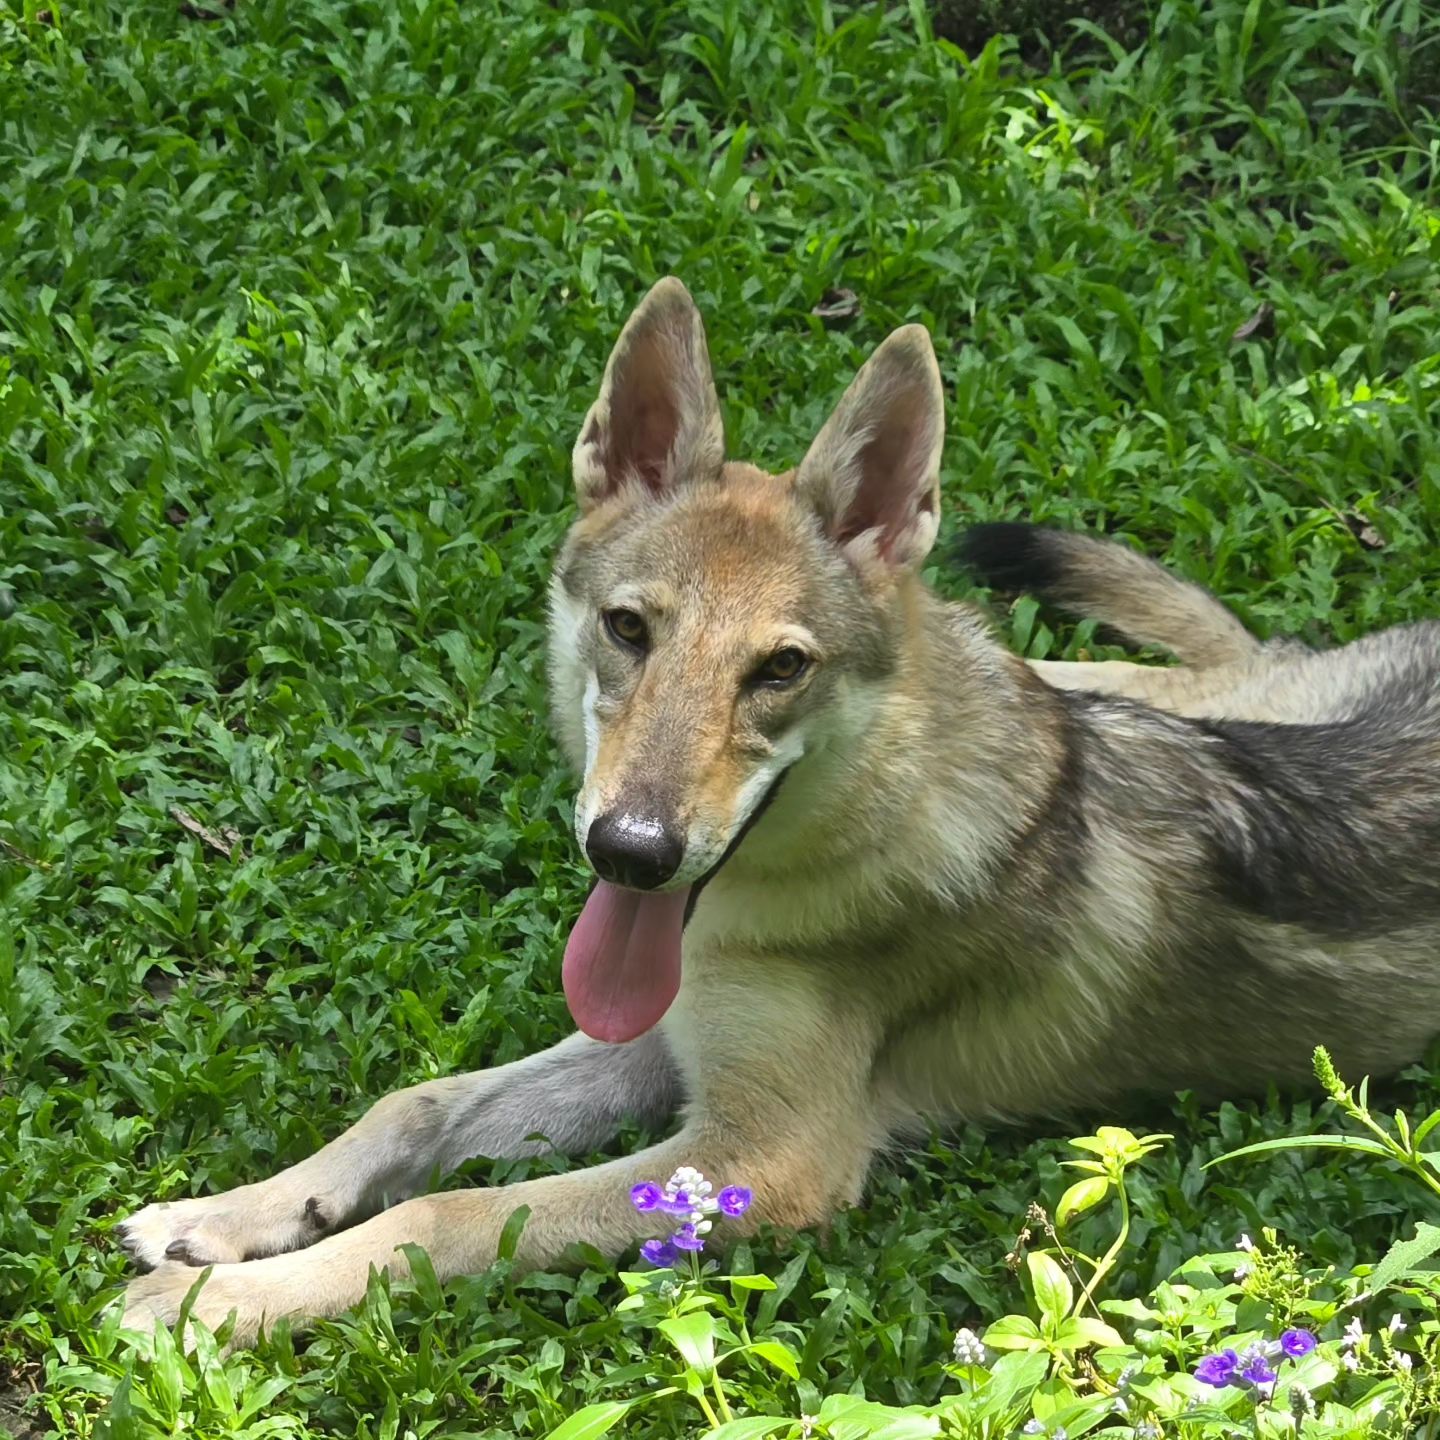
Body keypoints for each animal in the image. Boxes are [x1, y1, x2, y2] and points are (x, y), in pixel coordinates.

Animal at [115, 275, 1440, 1342]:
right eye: (628, 628)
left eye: (780, 669)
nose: (631, 852)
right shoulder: (657, 1038)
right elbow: (419, 1104)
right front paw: (229, 1216)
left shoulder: (767, 1154)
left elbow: (448, 1212)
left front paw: (219, 1305)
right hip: (1174, 683)